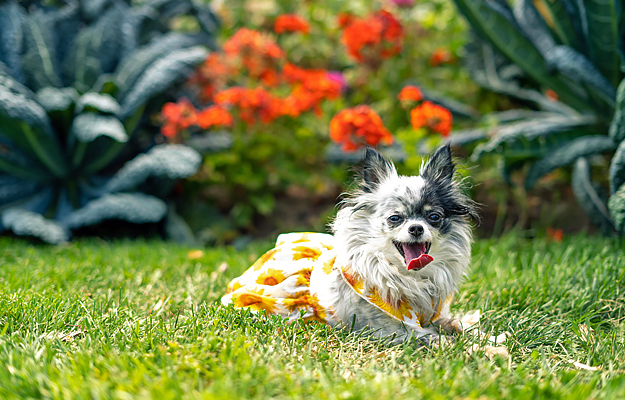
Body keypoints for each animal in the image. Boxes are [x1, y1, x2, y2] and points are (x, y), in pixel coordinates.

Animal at [223, 145, 478, 346]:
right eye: (395, 218)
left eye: (433, 217)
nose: (416, 228)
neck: (409, 277)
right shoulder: (390, 330)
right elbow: (433, 338)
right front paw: (474, 349)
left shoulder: (435, 317)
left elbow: (458, 325)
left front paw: (480, 335)